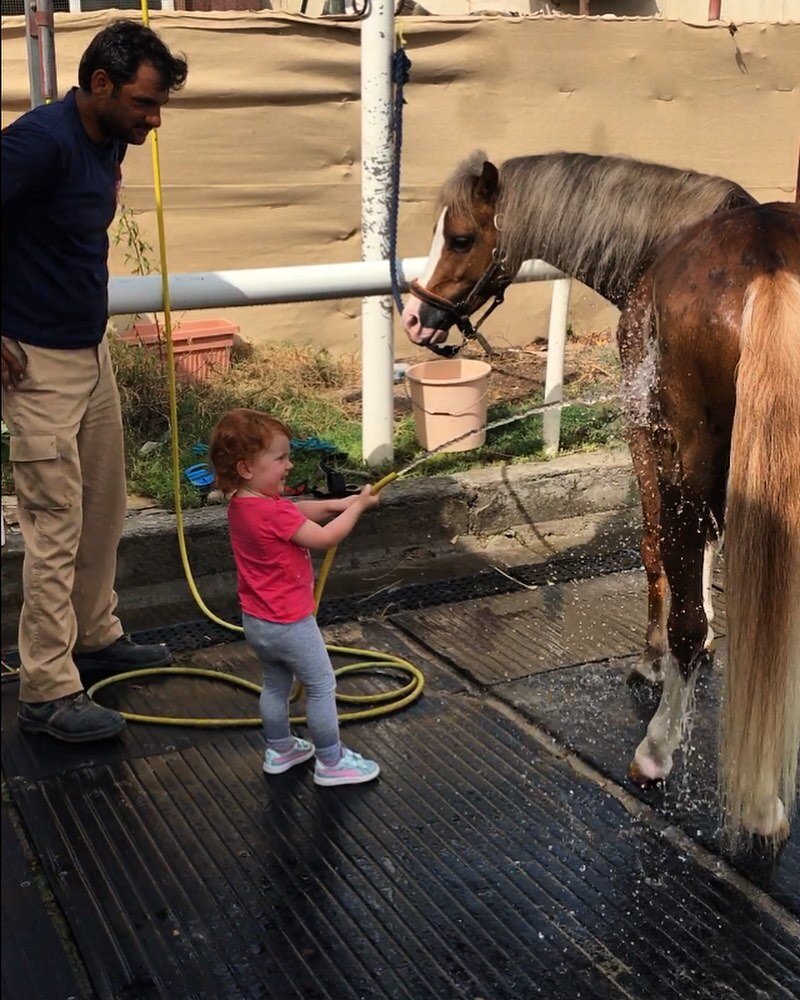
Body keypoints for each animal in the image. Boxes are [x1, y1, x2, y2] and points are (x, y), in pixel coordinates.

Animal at [404, 152, 800, 848]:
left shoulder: (649, 432)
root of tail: (770, 260)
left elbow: (658, 554)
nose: (415, 317)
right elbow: (705, 549)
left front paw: (652, 661)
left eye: (461, 238)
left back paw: (667, 755)